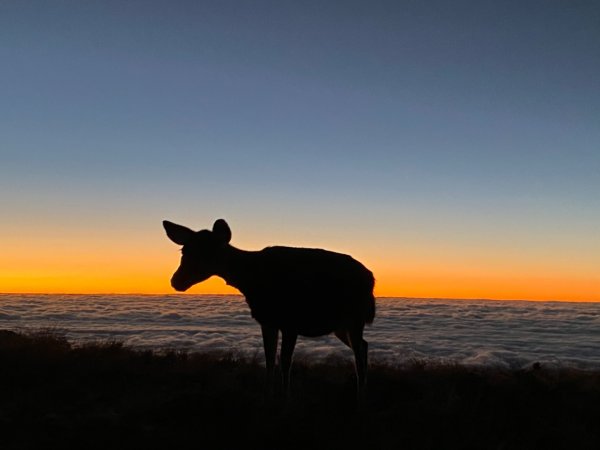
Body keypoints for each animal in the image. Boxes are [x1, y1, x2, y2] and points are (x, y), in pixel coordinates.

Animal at [162, 220, 372, 396]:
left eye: (207, 253)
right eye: (184, 251)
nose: (176, 281)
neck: (251, 280)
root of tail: (372, 279)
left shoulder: (291, 321)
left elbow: (285, 362)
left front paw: (285, 397)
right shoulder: (267, 321)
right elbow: (269, 359)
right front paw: (268, 393)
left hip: (355, 317)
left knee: (359, 351)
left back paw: (361, 393)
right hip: (341, 325)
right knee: (363, 345)